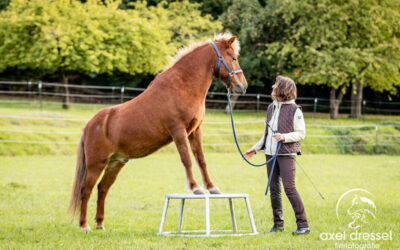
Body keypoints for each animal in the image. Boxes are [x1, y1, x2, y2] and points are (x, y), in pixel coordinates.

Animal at [69, 33, 247, 230]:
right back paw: (84, 225)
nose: (243, 86)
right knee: (86, 190)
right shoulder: (178, 131)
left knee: (102, 189)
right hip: (96, 164)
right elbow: (187, 160)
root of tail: (89, 126)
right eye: (233, 58)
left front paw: (212, 188)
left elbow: (201, 160)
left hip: (115, 163)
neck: (183, 86)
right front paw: (195, 188)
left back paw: (100, 223)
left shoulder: (195, 131)